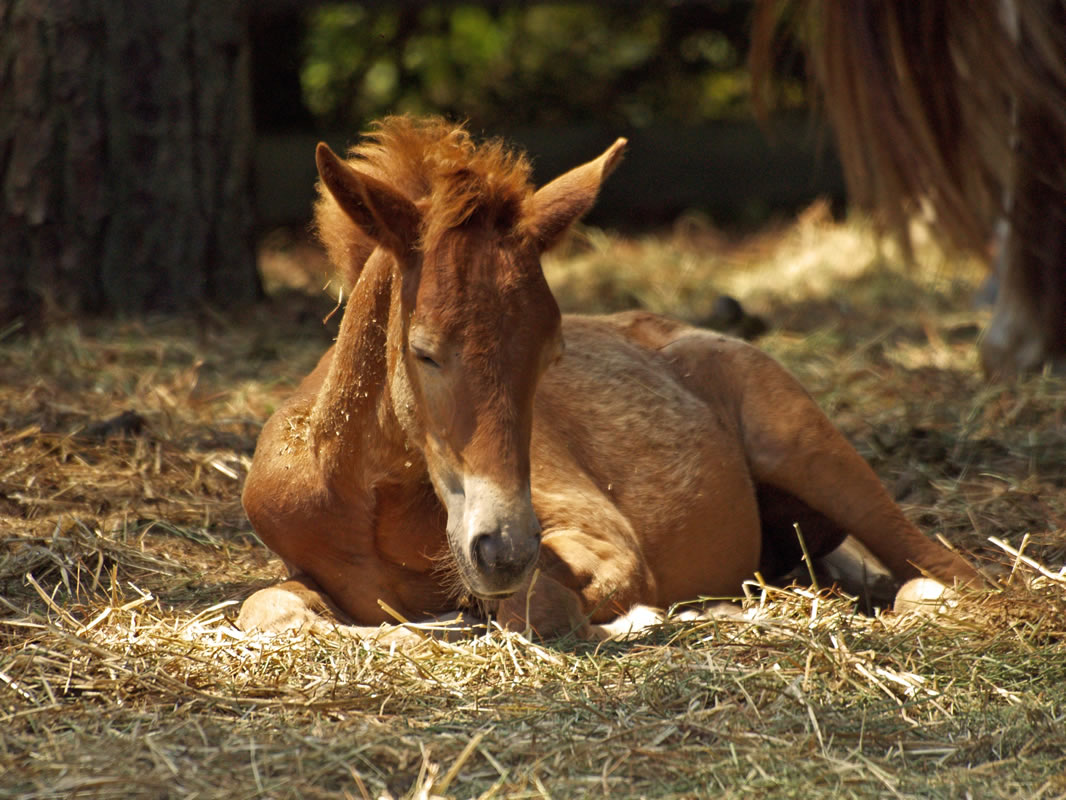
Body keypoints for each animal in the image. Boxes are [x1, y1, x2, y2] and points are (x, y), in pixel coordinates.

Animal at [237, 115, 976, 644]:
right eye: (424, 352)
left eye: (551, 352)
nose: (503, 550)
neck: (368, 503)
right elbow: (267, 609)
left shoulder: (602, 539)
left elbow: (540, 607)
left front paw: (636, 617)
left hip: (809, 449)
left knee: (949, 571)